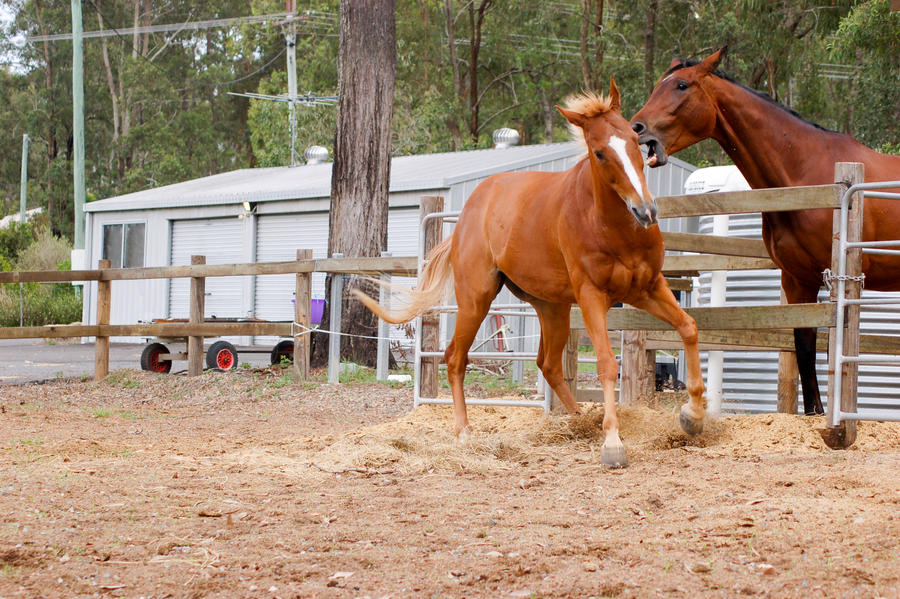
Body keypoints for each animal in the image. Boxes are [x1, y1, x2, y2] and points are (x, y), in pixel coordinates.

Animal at [356, 78, 708, 468]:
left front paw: (693, 416)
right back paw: (465, 431)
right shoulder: (592, 296)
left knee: (548, 364)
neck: (613, 227)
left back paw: (578, 420)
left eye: (635, 140)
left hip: (552, 307)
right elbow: (605, 362)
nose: (646, 211)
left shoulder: (647, 288)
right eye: (600, 153)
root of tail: (468, 214)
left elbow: (688, 327)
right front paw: (613, 442)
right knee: (455, 357)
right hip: (476, 300)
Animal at [628, 48, 900, 418]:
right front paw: (814, 413)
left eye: (682, 85)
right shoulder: (798, 279)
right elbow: (803, 346)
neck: (806, 172)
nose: (636, 128)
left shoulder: (839, 280)